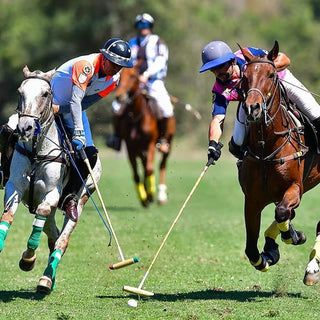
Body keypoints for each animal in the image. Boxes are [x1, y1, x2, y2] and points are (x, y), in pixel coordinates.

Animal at [0, 66, 102, 294]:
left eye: (45, 94)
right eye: (20, 92)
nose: (25, 128)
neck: (37, 151)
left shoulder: (52, 193)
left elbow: (43, 214)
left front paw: (28, 259)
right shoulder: (14, 187)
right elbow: (7, 216)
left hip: (82, 198)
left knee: (61, 240)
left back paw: (46, 279)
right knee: (52, 234)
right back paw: (49, 276)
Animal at [114, 62, 176, 208]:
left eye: (132, 76)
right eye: (119, 75)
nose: (119, 96)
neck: (137, 115)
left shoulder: (150, 144)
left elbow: (149, 169)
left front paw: (151, 194)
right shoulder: (131, 147)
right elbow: (136, 174)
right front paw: (144, 197)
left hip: (169, 143)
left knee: (162, 165)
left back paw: (161, 196)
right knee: (143, 165)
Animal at [239, 40, 320, 284]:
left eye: (272, 74)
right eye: (245, 76)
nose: (252, 108)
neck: (266, 148)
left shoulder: (295, 188)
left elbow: (283, 212)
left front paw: (291, 235)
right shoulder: (252, 200)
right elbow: (251, 249)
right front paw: (268, 254)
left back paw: (312, 268)